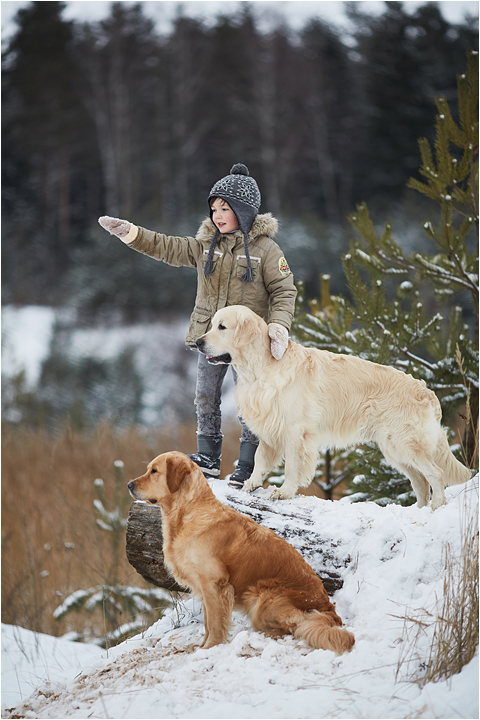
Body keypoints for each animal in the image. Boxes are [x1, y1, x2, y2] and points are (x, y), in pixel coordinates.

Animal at [127, 452, 352, 656]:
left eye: (154, 471)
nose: (129, 484)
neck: (187, 512)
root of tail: (329, 609)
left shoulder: (215, 584)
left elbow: (215, 624)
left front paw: (210, 648)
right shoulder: (205, 587)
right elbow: (208, 622)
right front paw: (202, 647)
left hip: (262, 597)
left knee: (295, 627)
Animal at [196, 304, 472, 506]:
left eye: (222, 326)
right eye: (212, 324)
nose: (198, 342)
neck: (262, 368)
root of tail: (427, 391)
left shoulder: (295, 431)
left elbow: (292, 466)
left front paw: (284, 492)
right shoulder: (270, 427)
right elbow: (260, 458)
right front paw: (251, 483)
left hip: (405, 444)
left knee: (435, 473)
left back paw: (436, 507)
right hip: (395, 450)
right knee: (421, 482)